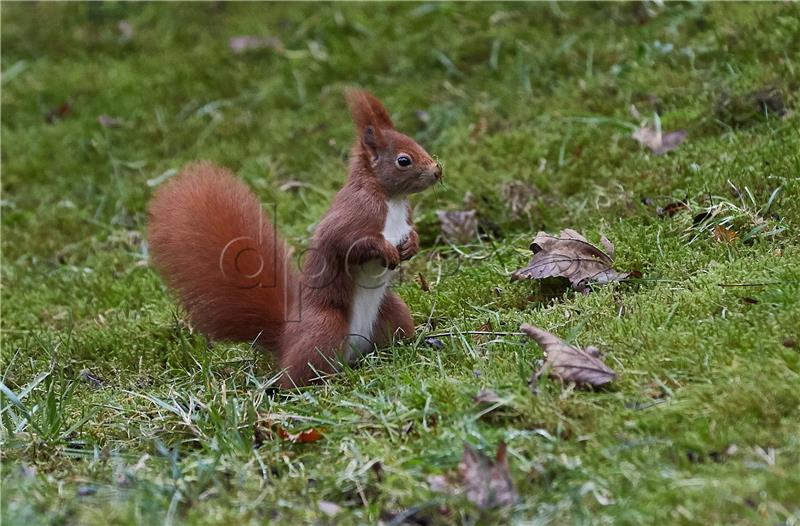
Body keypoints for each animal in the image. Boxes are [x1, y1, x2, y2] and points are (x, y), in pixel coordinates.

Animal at [150, 89, 444, 388]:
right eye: (403, 160)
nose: (437, 170)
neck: (391, 199)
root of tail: (287, 340)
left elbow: (410, 231)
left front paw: (412, 244)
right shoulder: (355, 214)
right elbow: (349, 243)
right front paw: (388, 250)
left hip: (393, 311)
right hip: (325, 328)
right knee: (298, 376)